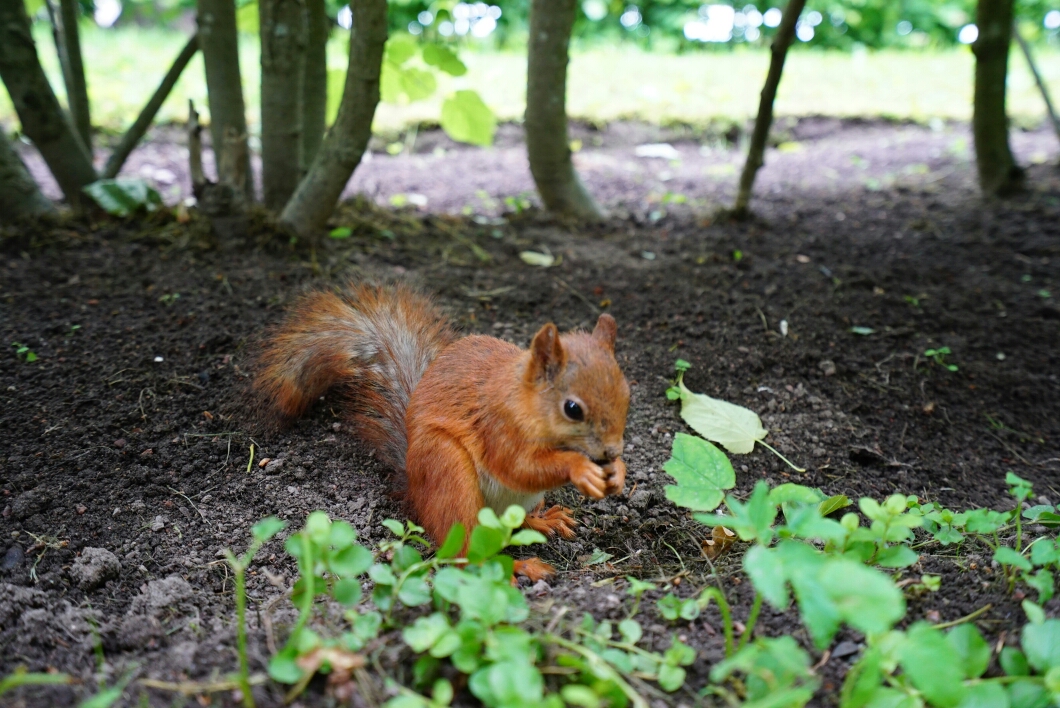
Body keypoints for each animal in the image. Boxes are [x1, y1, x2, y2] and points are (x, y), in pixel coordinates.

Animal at [255, 284, 627, 580]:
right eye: (573, 408)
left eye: (627, 394)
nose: (611, 452)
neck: (525, 401)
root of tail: (415, 491)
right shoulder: (498, 428)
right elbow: (520, 467)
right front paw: (580, 469)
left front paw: (618, 473)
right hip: (447, 471)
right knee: (466, 554)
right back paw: (517, 569)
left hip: (517, 501)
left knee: (513, 525)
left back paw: (542, 521)